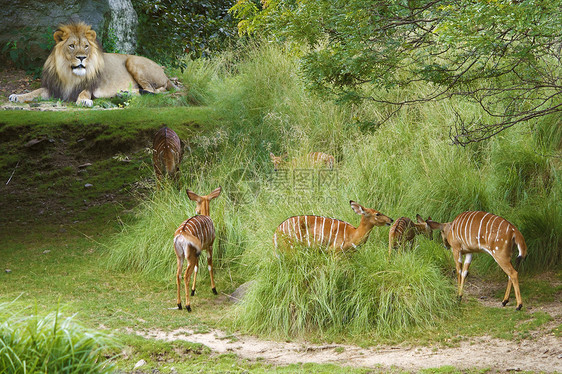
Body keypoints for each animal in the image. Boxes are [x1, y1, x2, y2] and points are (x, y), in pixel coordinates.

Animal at [9, 22, 176, 106]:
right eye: (72, 46)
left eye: (86, 46)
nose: (82, 57)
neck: (69, 74)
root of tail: (165, 75)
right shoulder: (54, 88)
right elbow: (35, 92)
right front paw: (17, 96)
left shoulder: (89, 86)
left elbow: (83, 93)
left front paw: (84, 101)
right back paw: (123, 92)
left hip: (133, 61)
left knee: (154, 91)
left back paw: (126, 93)